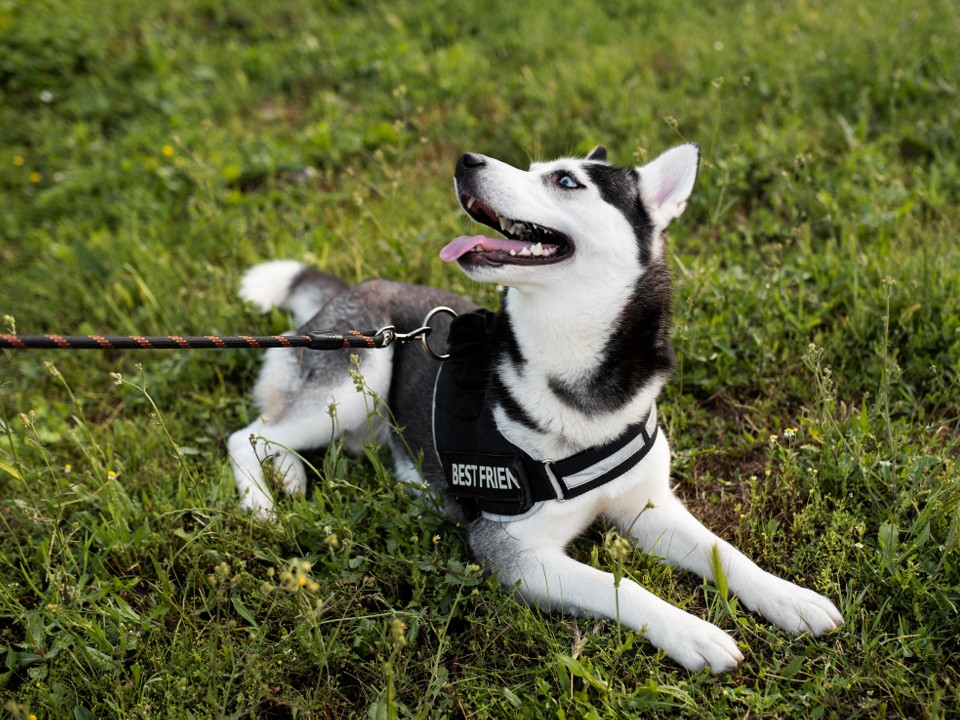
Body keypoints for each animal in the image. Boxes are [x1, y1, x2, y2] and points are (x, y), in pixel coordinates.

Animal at [231, 143, 840, 672]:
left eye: (566, 180)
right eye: (533, 168)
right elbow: (622, 585)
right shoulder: (516, 552)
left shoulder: (649, 508)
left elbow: (725, 553)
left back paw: (290, 478)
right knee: (248, 434)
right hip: (362, 371)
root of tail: (350, 290)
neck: (576, 377)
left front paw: (790, 598)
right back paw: (263, 503)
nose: (466, 160)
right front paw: (693, 632)